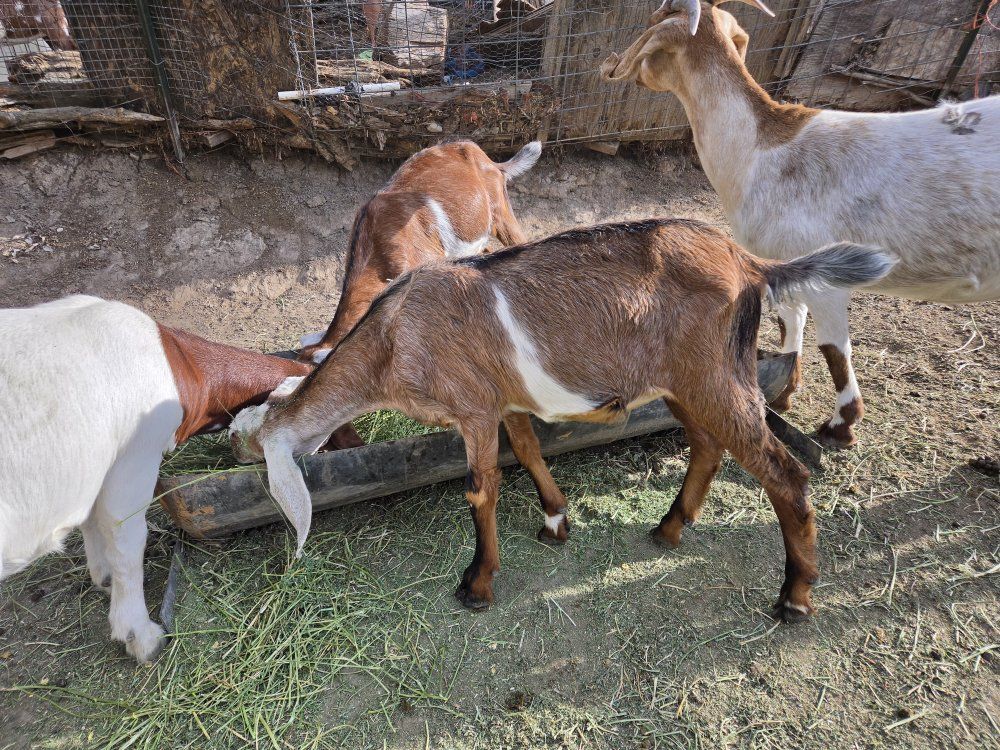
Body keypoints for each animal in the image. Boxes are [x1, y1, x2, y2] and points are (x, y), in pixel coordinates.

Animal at [0, 296, 313, 662]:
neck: (181, 365)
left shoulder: (100, 473)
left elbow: (92, 522)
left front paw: (104, 577)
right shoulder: (135, 458)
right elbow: (127, 539)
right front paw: (139, 633)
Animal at [230, 220, 894, 621]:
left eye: (245, 440)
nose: (230, 451)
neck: (394, 338)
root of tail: (749, 262)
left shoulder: (473, 407)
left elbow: (482, 489)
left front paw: (477, 584)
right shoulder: (506, 401)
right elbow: (526, 452)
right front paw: (556, 521)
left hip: (714, 377)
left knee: (785, 474)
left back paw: (795, 596)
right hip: (683, 382)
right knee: (706, 446)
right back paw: (668, 529)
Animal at [602, 0, 1000, 447]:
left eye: (653, 21)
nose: (612, 65)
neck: (758, 152)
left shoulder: (824, 272)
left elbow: (833, 347)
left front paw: (840, 425)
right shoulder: (787, 267)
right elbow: (789, 325)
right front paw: (785, 393)